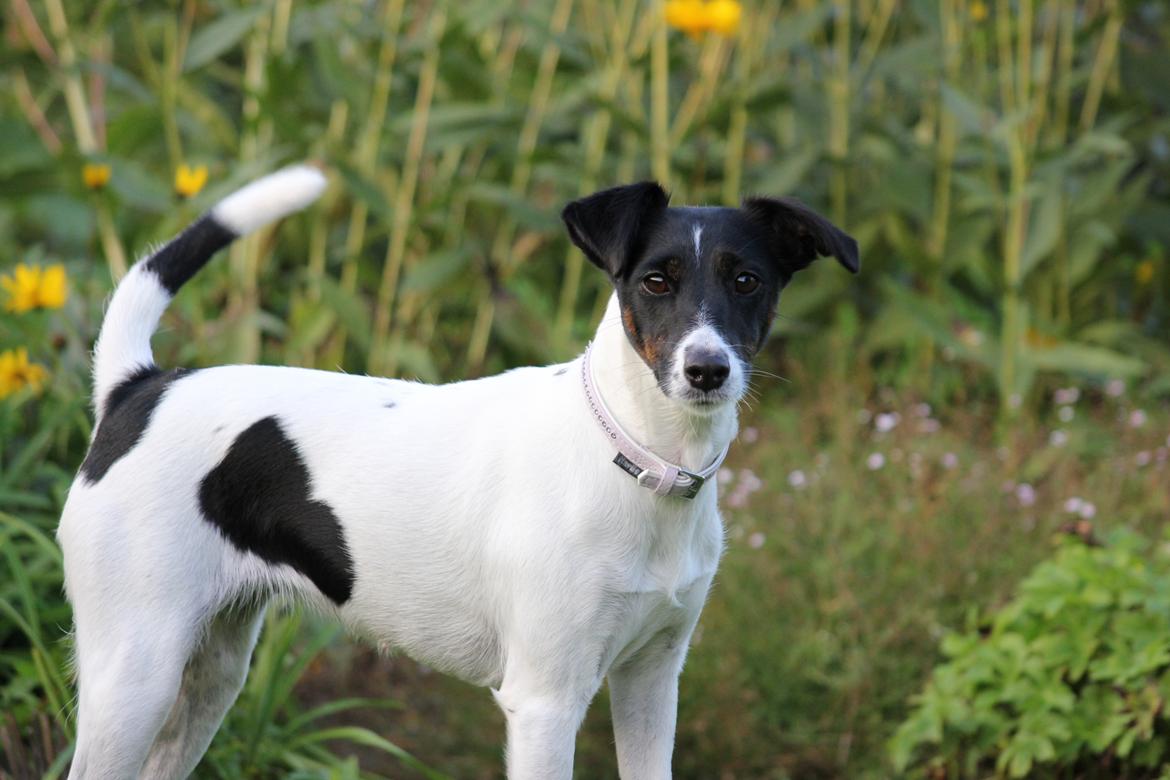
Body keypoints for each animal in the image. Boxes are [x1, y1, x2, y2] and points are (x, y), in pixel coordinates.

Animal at [57, 166, 861, 780]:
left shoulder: (652, 682)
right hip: (134, 676)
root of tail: (139, 387)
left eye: (747, 280)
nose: (706, 370)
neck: (636, 461)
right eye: (656, 282)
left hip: (211, 675)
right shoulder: (544, 703)